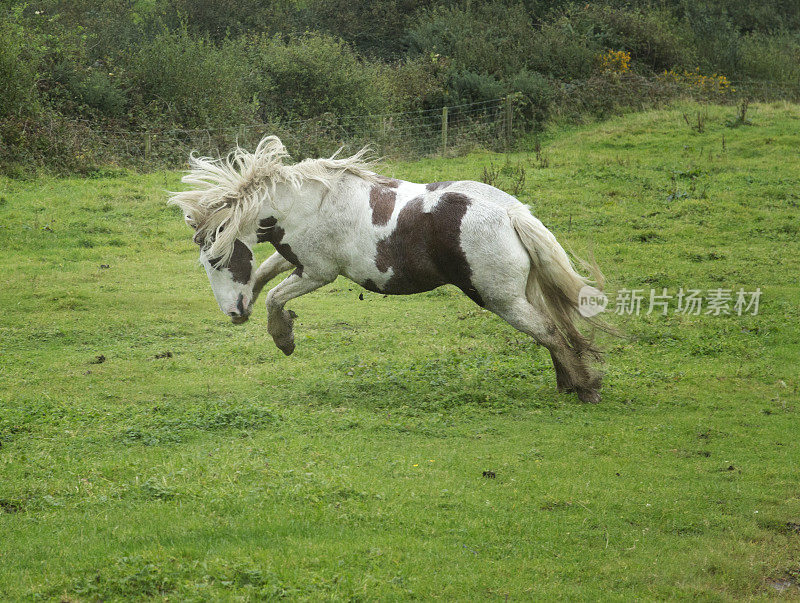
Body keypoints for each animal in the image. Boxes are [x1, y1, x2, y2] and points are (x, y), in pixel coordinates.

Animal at [170, 134, 608, 404]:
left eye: (215, 260)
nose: (233, 313)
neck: (307, 203)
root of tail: (512, 213)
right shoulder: (295, 260)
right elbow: (262, 277)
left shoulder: (318, 272)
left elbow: (275, 298)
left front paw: (284, 339)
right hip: (520, 293)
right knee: (554, 329)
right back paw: (568, 383)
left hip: (499, 298)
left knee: (548, 331)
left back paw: (585, 388)